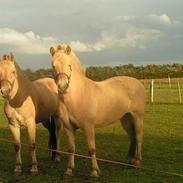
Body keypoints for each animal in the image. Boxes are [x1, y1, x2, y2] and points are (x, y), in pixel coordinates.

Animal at [49, 44, 146, 179]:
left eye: (69, 65)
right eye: (53, 65)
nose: (62, 86)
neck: (77, 95)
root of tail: (138, 83)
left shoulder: (88, 126)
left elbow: (91, 149)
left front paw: (94, 172)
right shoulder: (69, 127)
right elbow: (71, 148)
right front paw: (69, 170)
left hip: (137, 117)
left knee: (138, 137)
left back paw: (137, 162)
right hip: (126, 118)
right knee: (132, 137)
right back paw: (130, 161)